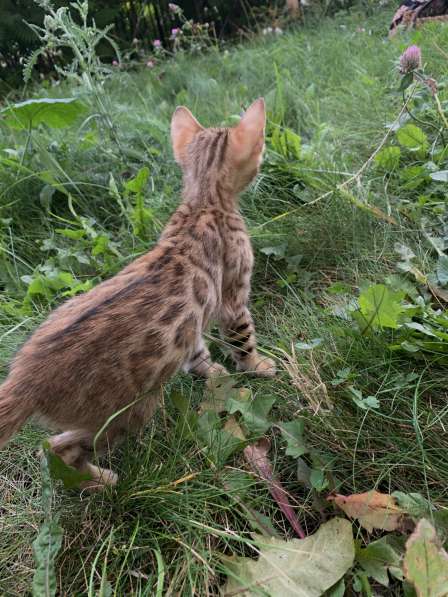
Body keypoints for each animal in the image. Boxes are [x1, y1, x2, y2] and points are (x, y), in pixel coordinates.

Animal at [0, 98, 272, 486]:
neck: (202, 202)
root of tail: (23, 381)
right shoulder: (232, 298)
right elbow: (242, 338)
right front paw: (259, 366)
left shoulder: (190, 324)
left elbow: (196, 352)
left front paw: (215, 373)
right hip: (130, 410)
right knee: (57, 448)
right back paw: (105, 482)